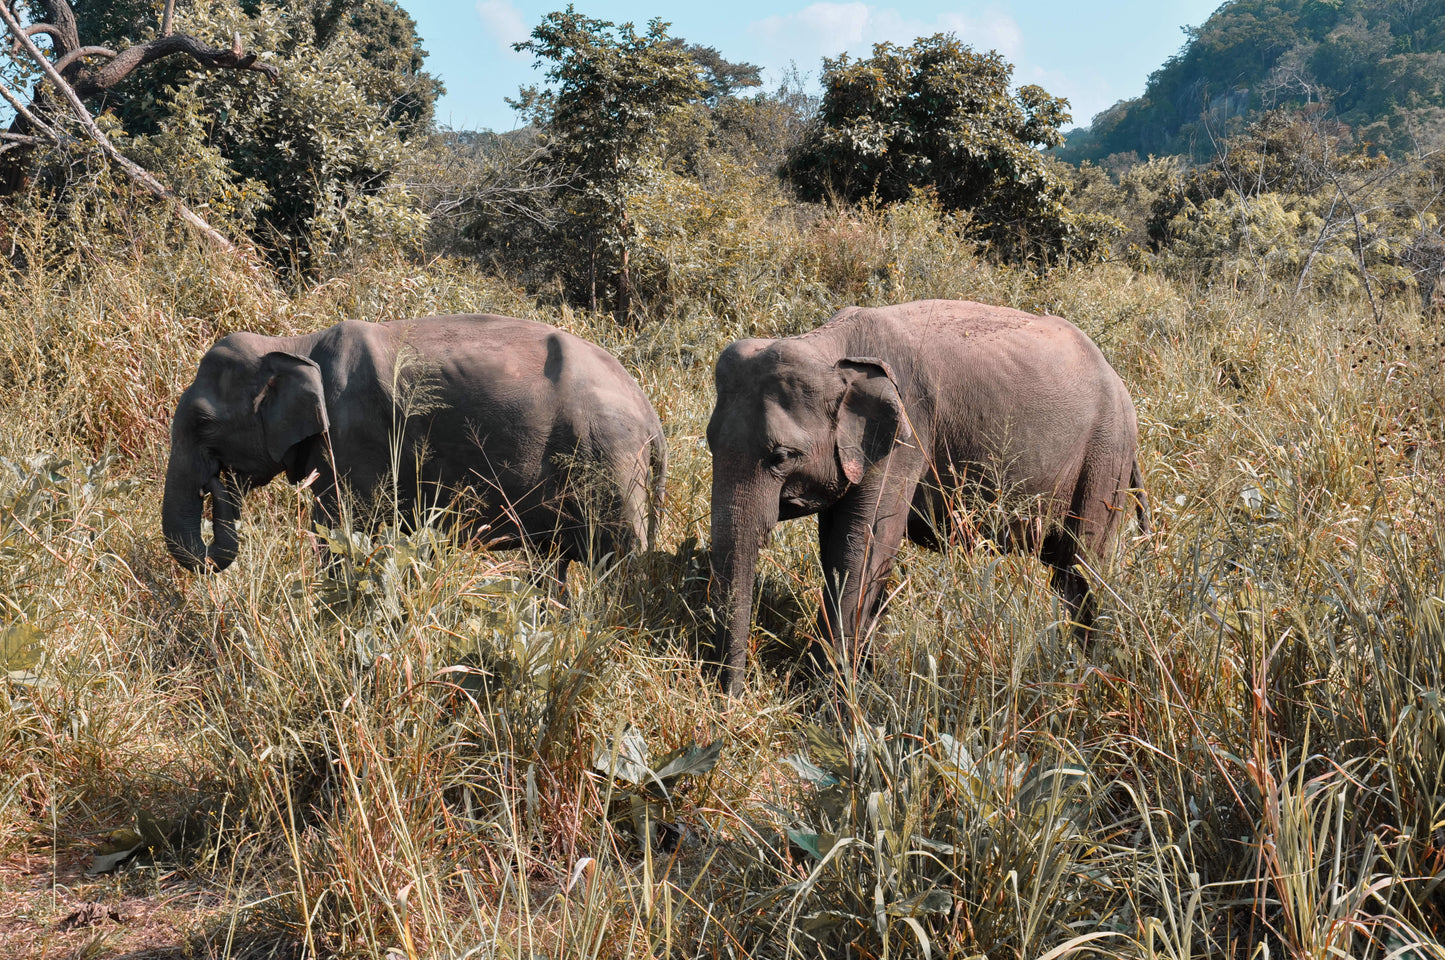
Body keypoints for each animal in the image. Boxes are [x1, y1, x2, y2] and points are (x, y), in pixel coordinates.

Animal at [162, 315, 664, 578]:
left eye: (202, 422)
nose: (216, 482)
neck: (293, 342)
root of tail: (650, 410)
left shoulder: (356, 438)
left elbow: (339, 530)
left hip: (611, 462)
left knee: (617, 559)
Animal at [705, 296, 1144, 693]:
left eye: (781, 456)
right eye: (710, 444)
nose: (733, 700)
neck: (828, 346)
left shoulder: (906, 435)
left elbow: (862, 546)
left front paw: (826, 693)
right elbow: (837, 545)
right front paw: (857, 679)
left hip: (1106, 453)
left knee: (1083, 566)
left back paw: (1091, 675)